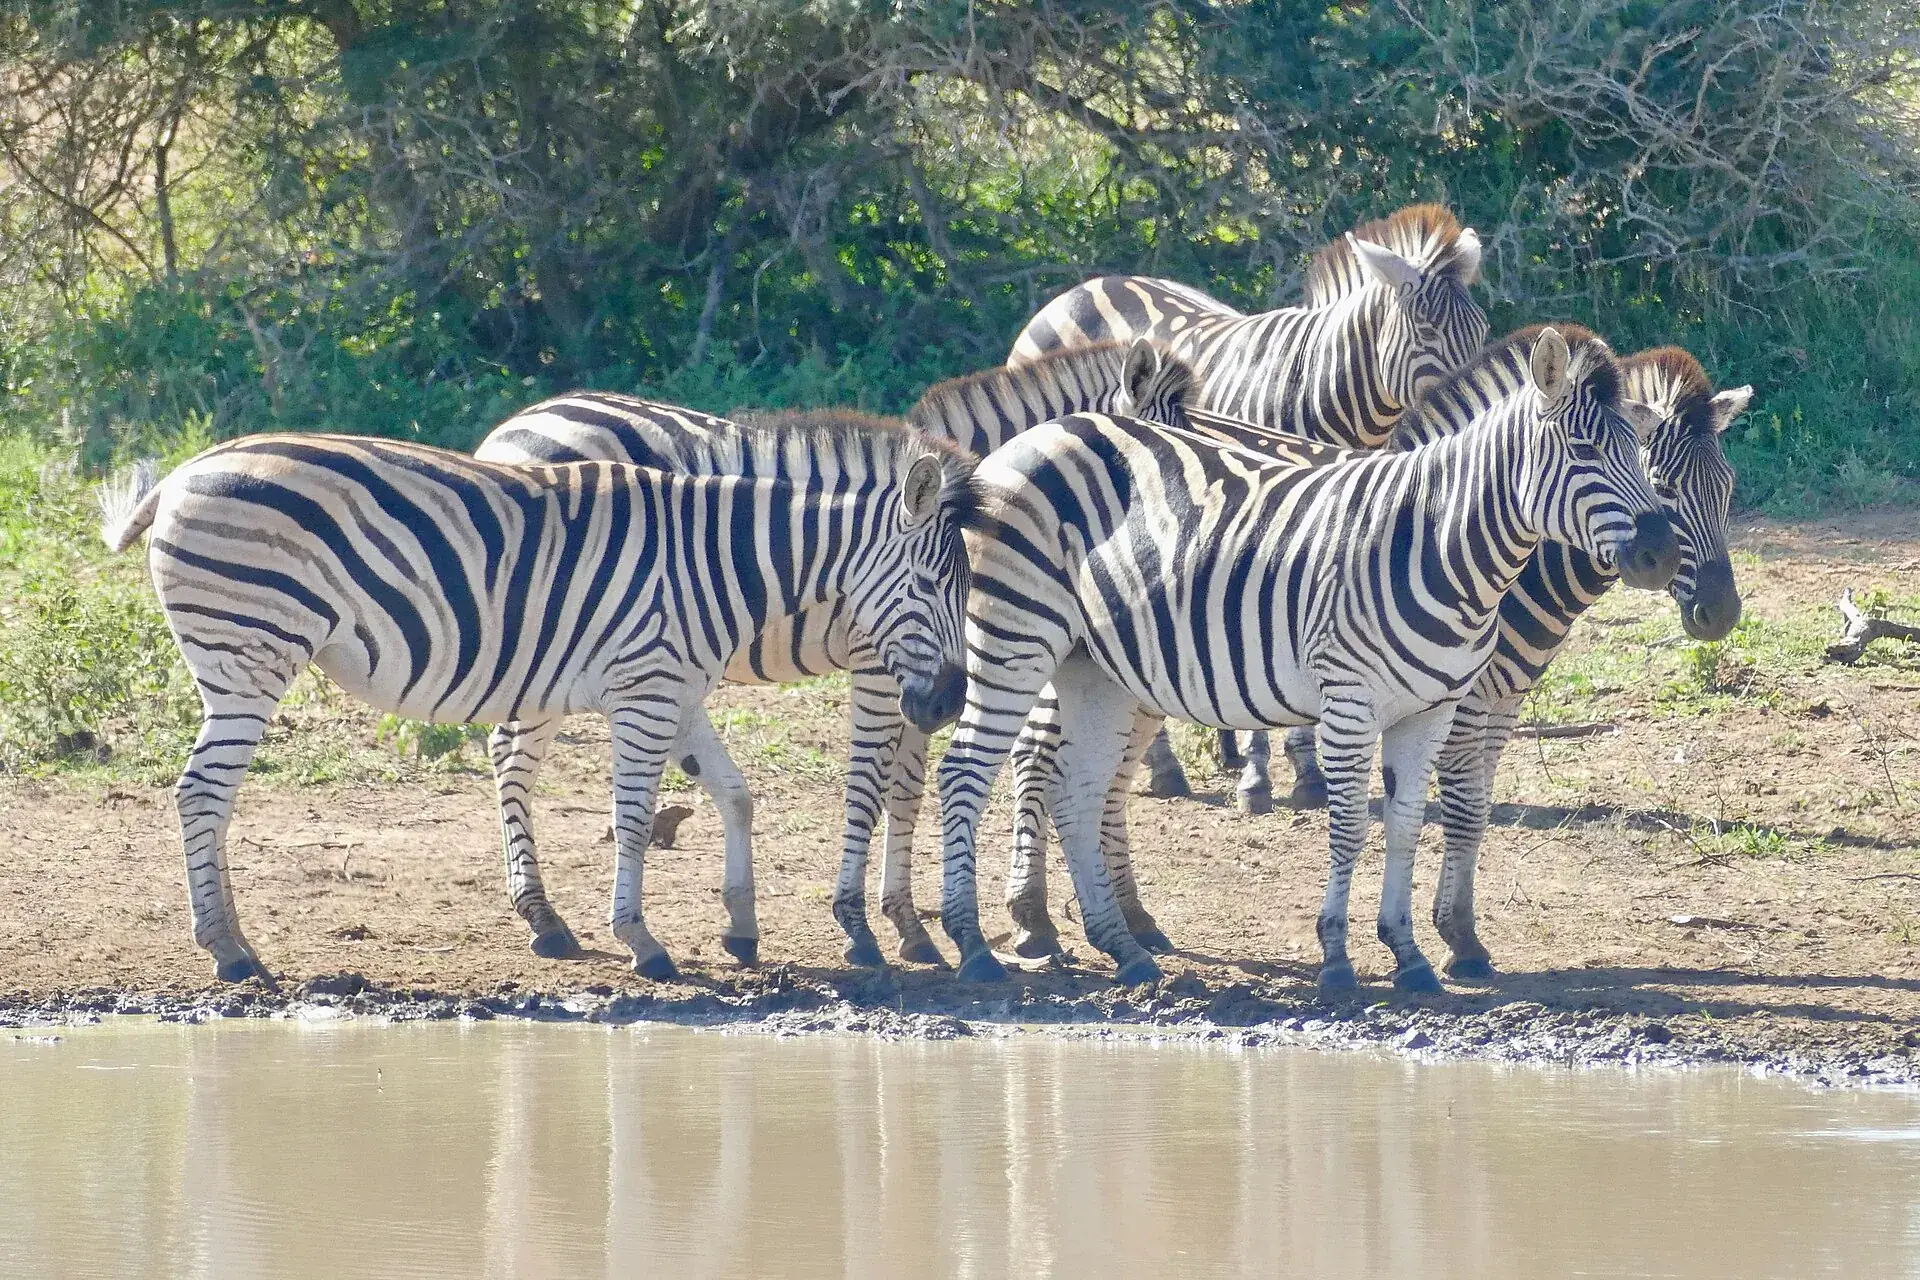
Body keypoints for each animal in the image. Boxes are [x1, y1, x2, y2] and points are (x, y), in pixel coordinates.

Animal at [100, 423, 979, 983]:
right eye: (929, 584)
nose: (946, 705)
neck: (719, 561)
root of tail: (180, 475)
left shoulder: (679, 687)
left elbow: (734, 794)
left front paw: (740, 926)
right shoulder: (646, 688)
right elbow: (633, 818)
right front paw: (643, 941)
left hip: (237, 664)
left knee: (211, 797)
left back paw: (235, 938)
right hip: (252, 652)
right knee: (201, 793)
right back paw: (227, 948)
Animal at [470, 340, 1197, 968]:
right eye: (1165, 458)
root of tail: (512, 429)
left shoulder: (922, 674)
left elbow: (906, 790)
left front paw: (908, 925)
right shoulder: (882, 663)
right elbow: (870, 787)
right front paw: (862, 928)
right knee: (511, 754)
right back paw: (543, 917)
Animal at [934, 326, 1680, 992]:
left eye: (1646, 456)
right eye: (1583, 449)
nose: (1661, 554)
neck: (1438, 542)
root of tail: (1031, 436)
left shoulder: (1431, 711)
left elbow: (1407, 825)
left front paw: (1408, 955)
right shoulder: (1349, 700)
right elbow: (1349, 827)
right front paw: (1339, 958)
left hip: (1095, 669)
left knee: (1079, 791)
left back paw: (1124, 949)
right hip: (1016, 639)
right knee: (965, 770)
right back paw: (975, 946)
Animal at [1010, 204, 1490, 807]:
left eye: (1483, 331)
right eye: (1427, 332)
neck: (1315, 388)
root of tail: (1085, 287)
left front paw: (1303, 767)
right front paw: (1263, 775)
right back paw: (1169, 768)